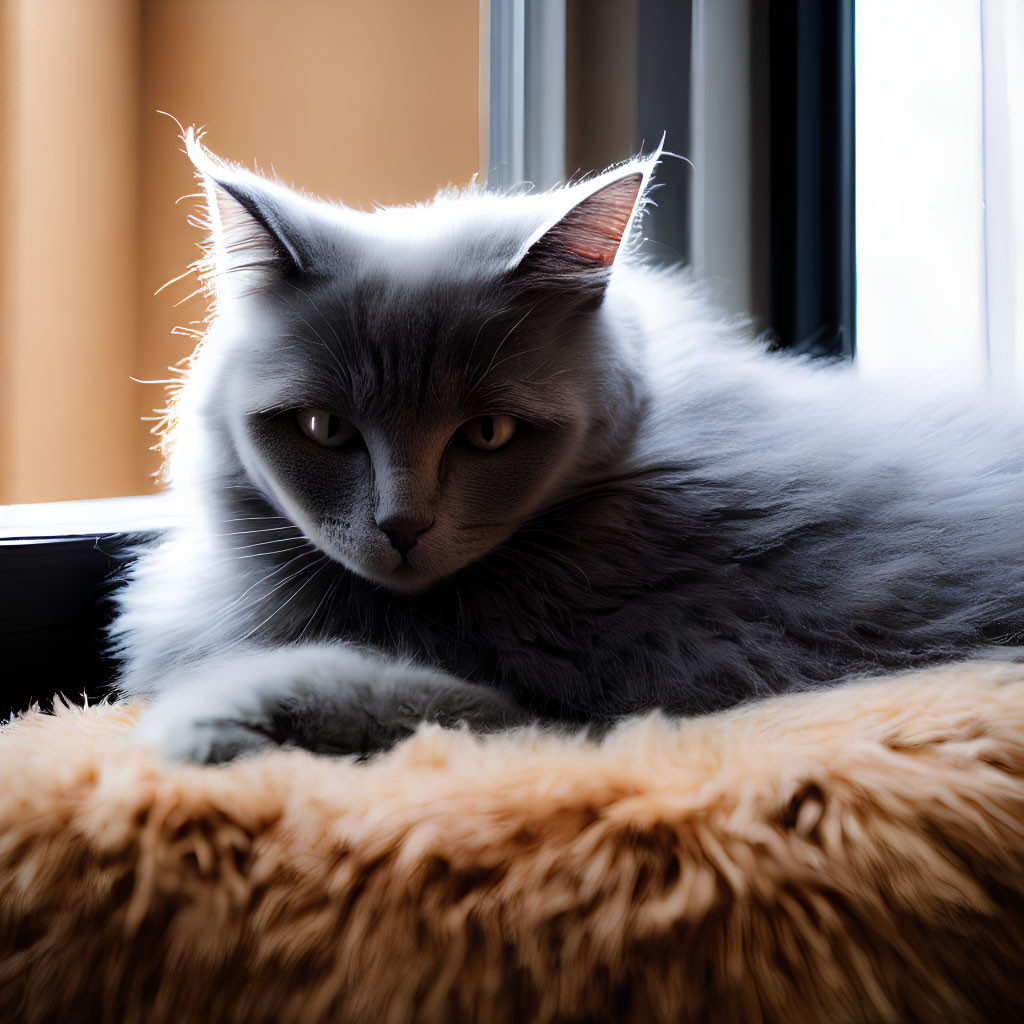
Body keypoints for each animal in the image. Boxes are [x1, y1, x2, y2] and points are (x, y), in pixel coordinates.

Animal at [116, 132, 1024, 765]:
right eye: (325, 431)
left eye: (488, 434)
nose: (402, 528)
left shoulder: (549, 700)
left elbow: (339, 681)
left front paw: (198, 731)